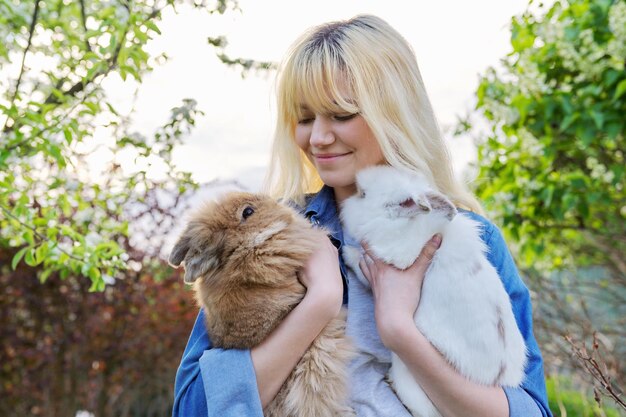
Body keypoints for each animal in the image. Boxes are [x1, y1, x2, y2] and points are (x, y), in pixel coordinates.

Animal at [338, 165, 524, 416]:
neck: (404, 223)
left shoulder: (393, 260)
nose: (343, 206)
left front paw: (346, 252)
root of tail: (495, 378)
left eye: (362, 195)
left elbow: (360, 260)